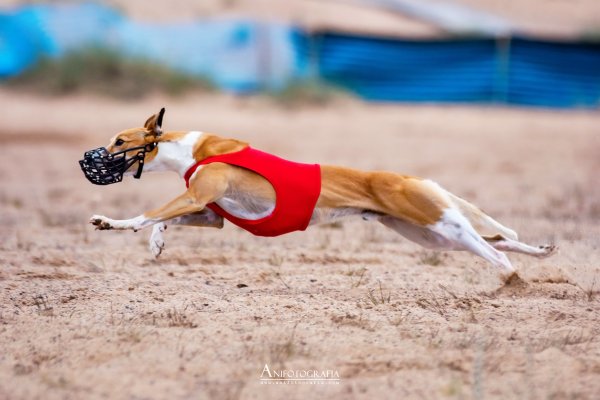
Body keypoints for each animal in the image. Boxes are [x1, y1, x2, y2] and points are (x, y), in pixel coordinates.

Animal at [81, 108, 556, 280]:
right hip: (428, 235)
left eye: (120, 141)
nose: (90, 160)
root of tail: (406, 177)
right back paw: (540, 252)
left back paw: (511, 278)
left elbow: (146, 213)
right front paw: (157, 244)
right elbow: (164, 220)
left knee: (493, 250)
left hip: (439, 224)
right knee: (499, 239)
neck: (191, 150)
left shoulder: (200, 197)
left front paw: (109, 222)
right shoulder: (211, 214)